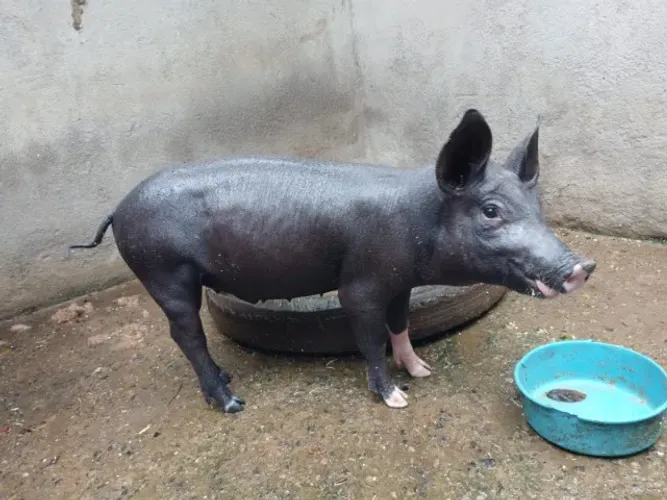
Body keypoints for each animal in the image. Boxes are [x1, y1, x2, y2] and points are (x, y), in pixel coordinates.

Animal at [69, 109, 596, 413]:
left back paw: (227, 381)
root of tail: (118, 209)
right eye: (491, 211)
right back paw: (232, 401)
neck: (416, 220)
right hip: (164, 270)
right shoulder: (360, 281)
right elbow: (368, 337)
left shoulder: (400, 280)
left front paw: (422, 371)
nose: (582, 266)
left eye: (537, 205)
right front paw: (397, 400)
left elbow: (401, 325)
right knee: (186, 334)